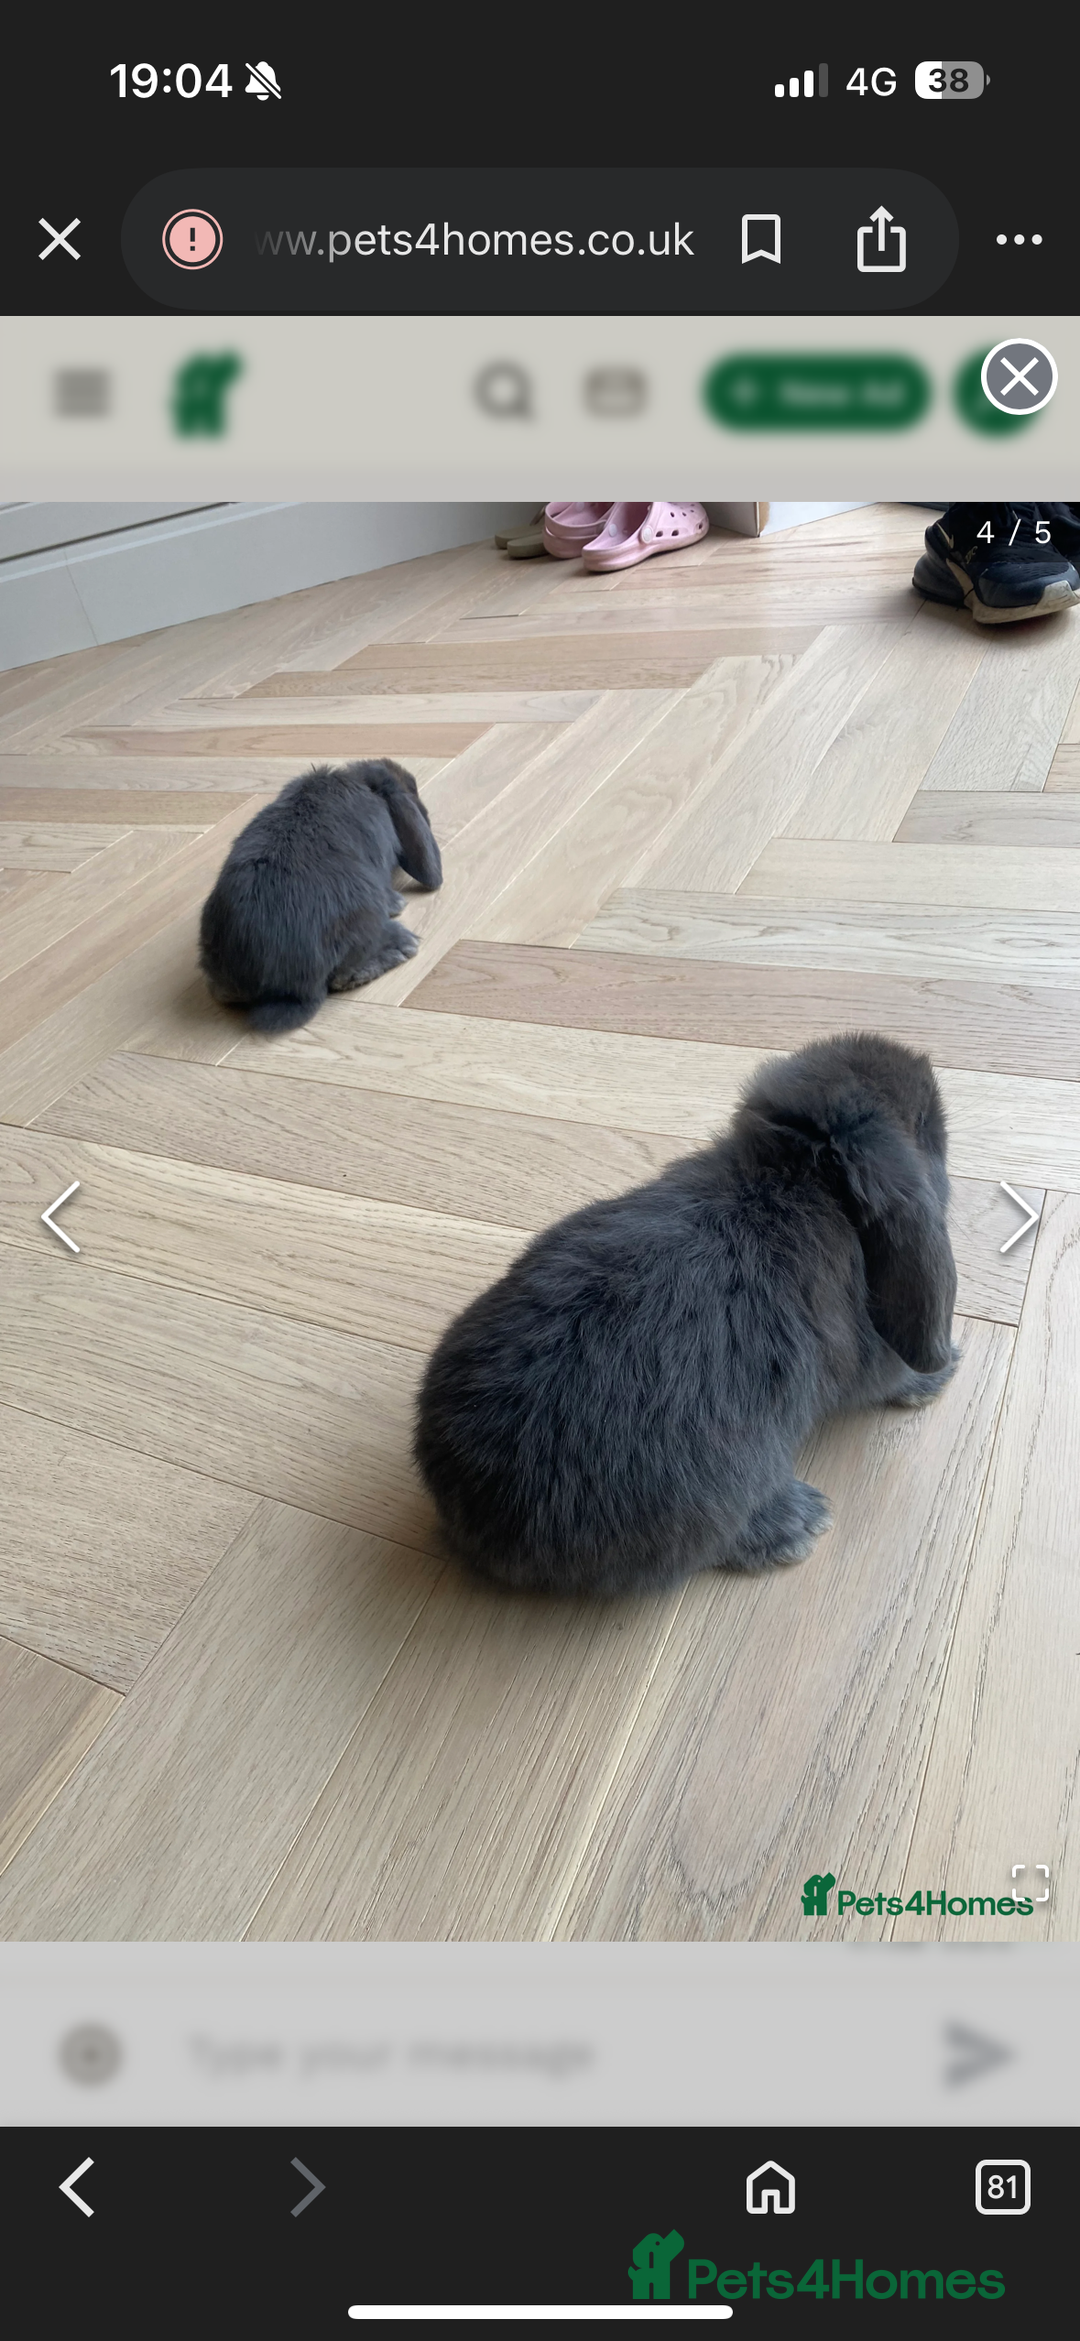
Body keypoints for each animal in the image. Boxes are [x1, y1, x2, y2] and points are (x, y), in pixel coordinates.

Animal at [414, 1032, 959, 1597]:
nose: (928, 1071)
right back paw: (796, 1523)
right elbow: (890, 1379)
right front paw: (939, 1374)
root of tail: (476, 1511)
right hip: (722, 1494)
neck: (794, 1174)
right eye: (925, 1123)